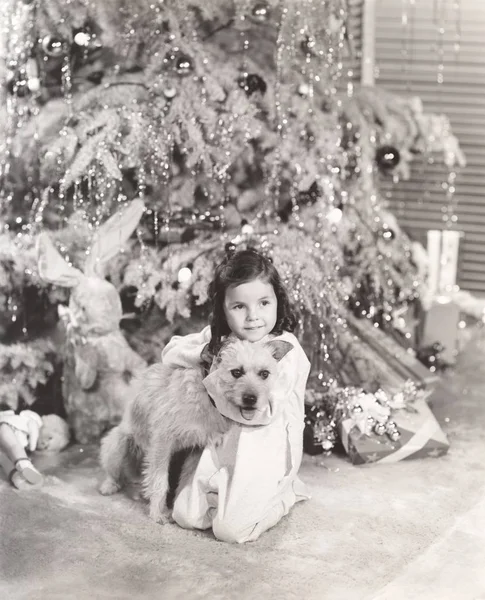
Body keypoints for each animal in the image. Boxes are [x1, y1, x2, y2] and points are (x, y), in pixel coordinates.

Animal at [98, 338, 292, 524]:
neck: (208, 398)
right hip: (117, 445)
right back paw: (109, 486)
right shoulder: (162, 441)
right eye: (236, 372)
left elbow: (185, 480)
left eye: (264, 374)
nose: (251, 399)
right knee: (114, 473)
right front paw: (157, 513)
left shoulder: (196, 448)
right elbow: (159, 480)